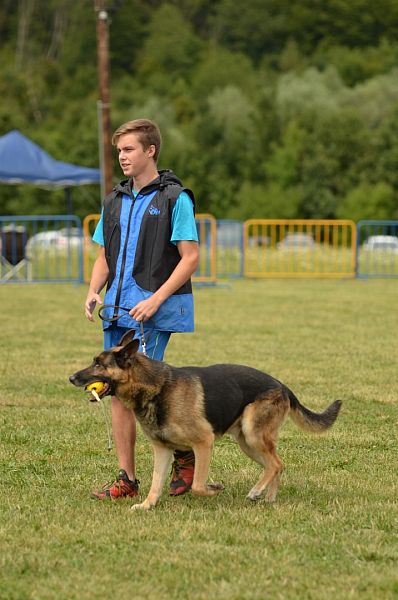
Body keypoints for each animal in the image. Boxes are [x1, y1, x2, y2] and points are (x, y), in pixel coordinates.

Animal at [70, 330, 340, 508]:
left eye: (98, 364)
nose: (71, 378)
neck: (156, 388)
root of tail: (282, 385)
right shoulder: (162, 450)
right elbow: (156, 483)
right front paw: (147, 505)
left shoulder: (204, 443)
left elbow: (198, 486)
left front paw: (214, 489)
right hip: (247, 443)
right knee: (276, 465)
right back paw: (268, 498)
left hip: (253, 435)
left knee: (275, 464)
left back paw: (256, 492)